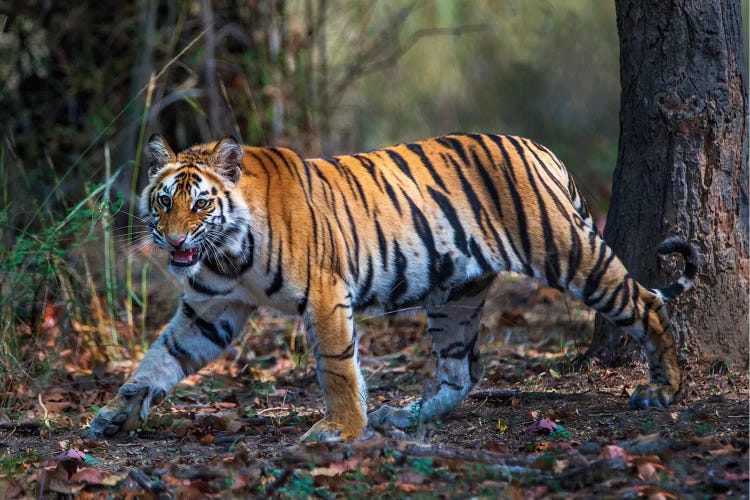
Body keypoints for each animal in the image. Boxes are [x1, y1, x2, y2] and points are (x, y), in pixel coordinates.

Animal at [88, 133, 700, 442]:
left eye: (200, 203)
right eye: (163, 201)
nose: (172, 241)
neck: (230, 253)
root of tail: (542, 149)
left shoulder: (324, 291)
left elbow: (336, 366)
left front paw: (339, 429)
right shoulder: (211, 306)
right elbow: (159, 359)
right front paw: (116, 414)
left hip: (568, 252)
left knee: (645, 303)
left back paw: (664, 390)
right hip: (456, 295)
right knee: (461, 372)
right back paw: (402, 417)